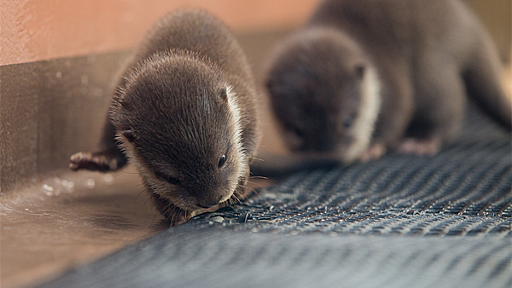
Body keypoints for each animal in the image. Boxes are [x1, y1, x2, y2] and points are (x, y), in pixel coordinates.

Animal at [70, 8, 260, 225]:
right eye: (170, 178)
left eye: (222, 159)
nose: (211, 200)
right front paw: (174, 213)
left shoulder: (247, 103)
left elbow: (251, 140)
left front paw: (239, 185)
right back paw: (99, 159)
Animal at [266, 0, 510, 162]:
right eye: (296, 130)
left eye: (348, 121)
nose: (328, 154)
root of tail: (469, 29)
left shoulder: (391, 84)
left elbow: (397, 112)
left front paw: (372, 147)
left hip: (433, 69)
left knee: (447, 109)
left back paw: (422, 141)